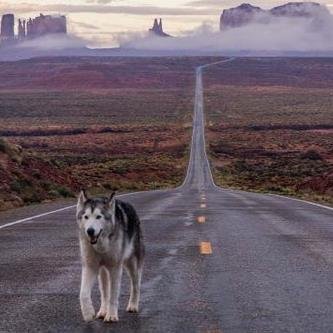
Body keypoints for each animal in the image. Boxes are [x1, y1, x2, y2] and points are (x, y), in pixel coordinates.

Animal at [76, 189, 144, 322]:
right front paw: (88, 313)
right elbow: (83, 294)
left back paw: (133, 305)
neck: (101, 245)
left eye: (98, 217)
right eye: (86, 217)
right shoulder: (90, 266)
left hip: (132, 265)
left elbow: (113, 295)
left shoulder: (115, 268)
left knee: (136, 285)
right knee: (104, 292)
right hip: (102, 270)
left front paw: (112, 315)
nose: (90, 231)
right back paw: (103, 311)